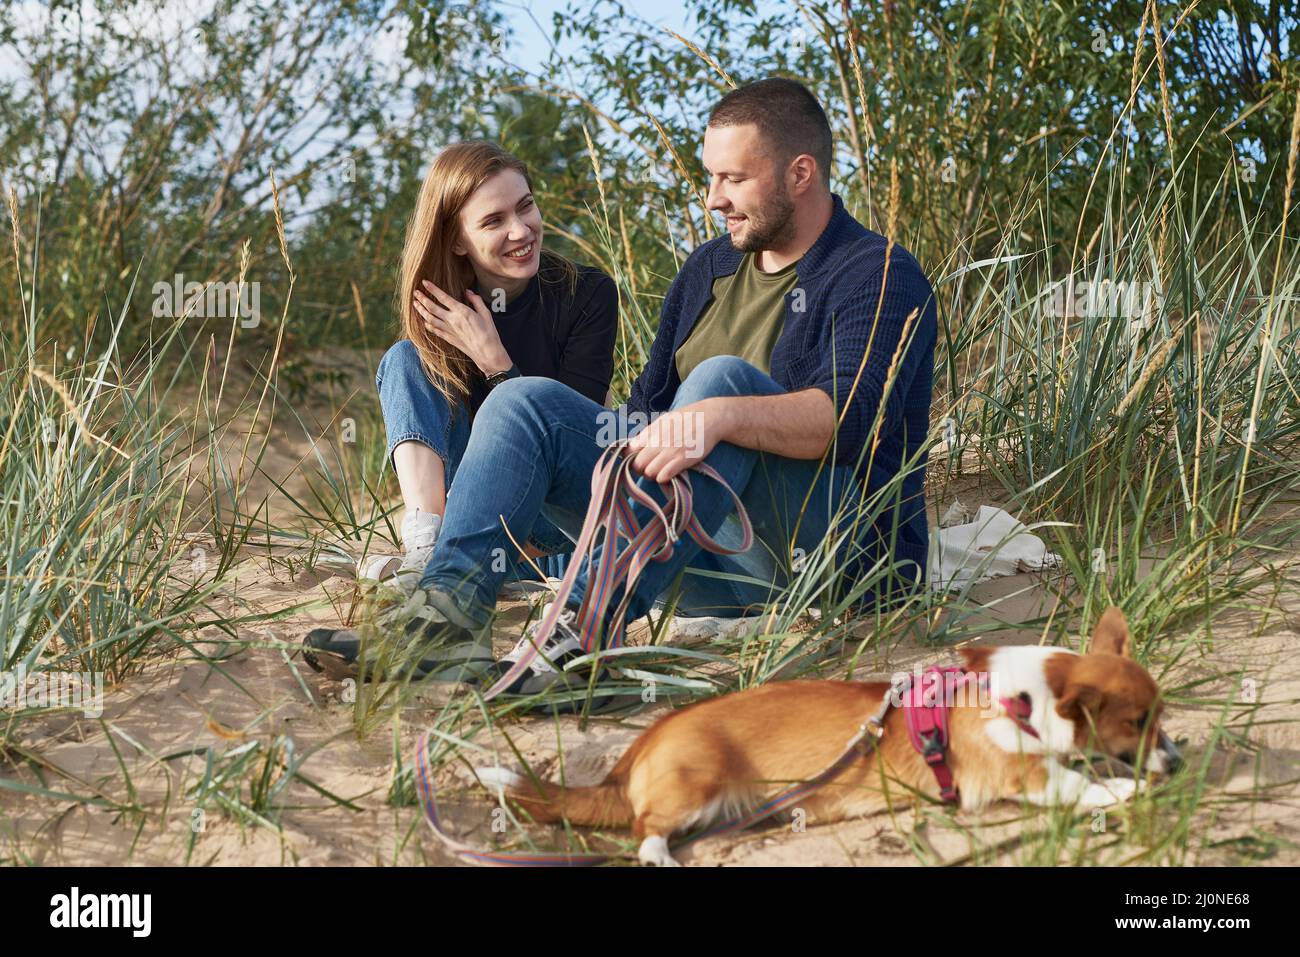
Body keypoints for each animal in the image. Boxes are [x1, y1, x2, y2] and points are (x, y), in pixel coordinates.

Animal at [483, 613, 1185, 868]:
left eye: (1162, 716)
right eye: (1137, 723)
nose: (1178, 764)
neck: (1022, 694)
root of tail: (641, 746)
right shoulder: (1025, 774)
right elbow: (1081, 783)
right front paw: (1126, 789)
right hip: (693, 786)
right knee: (642, 828)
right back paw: (660, 858)